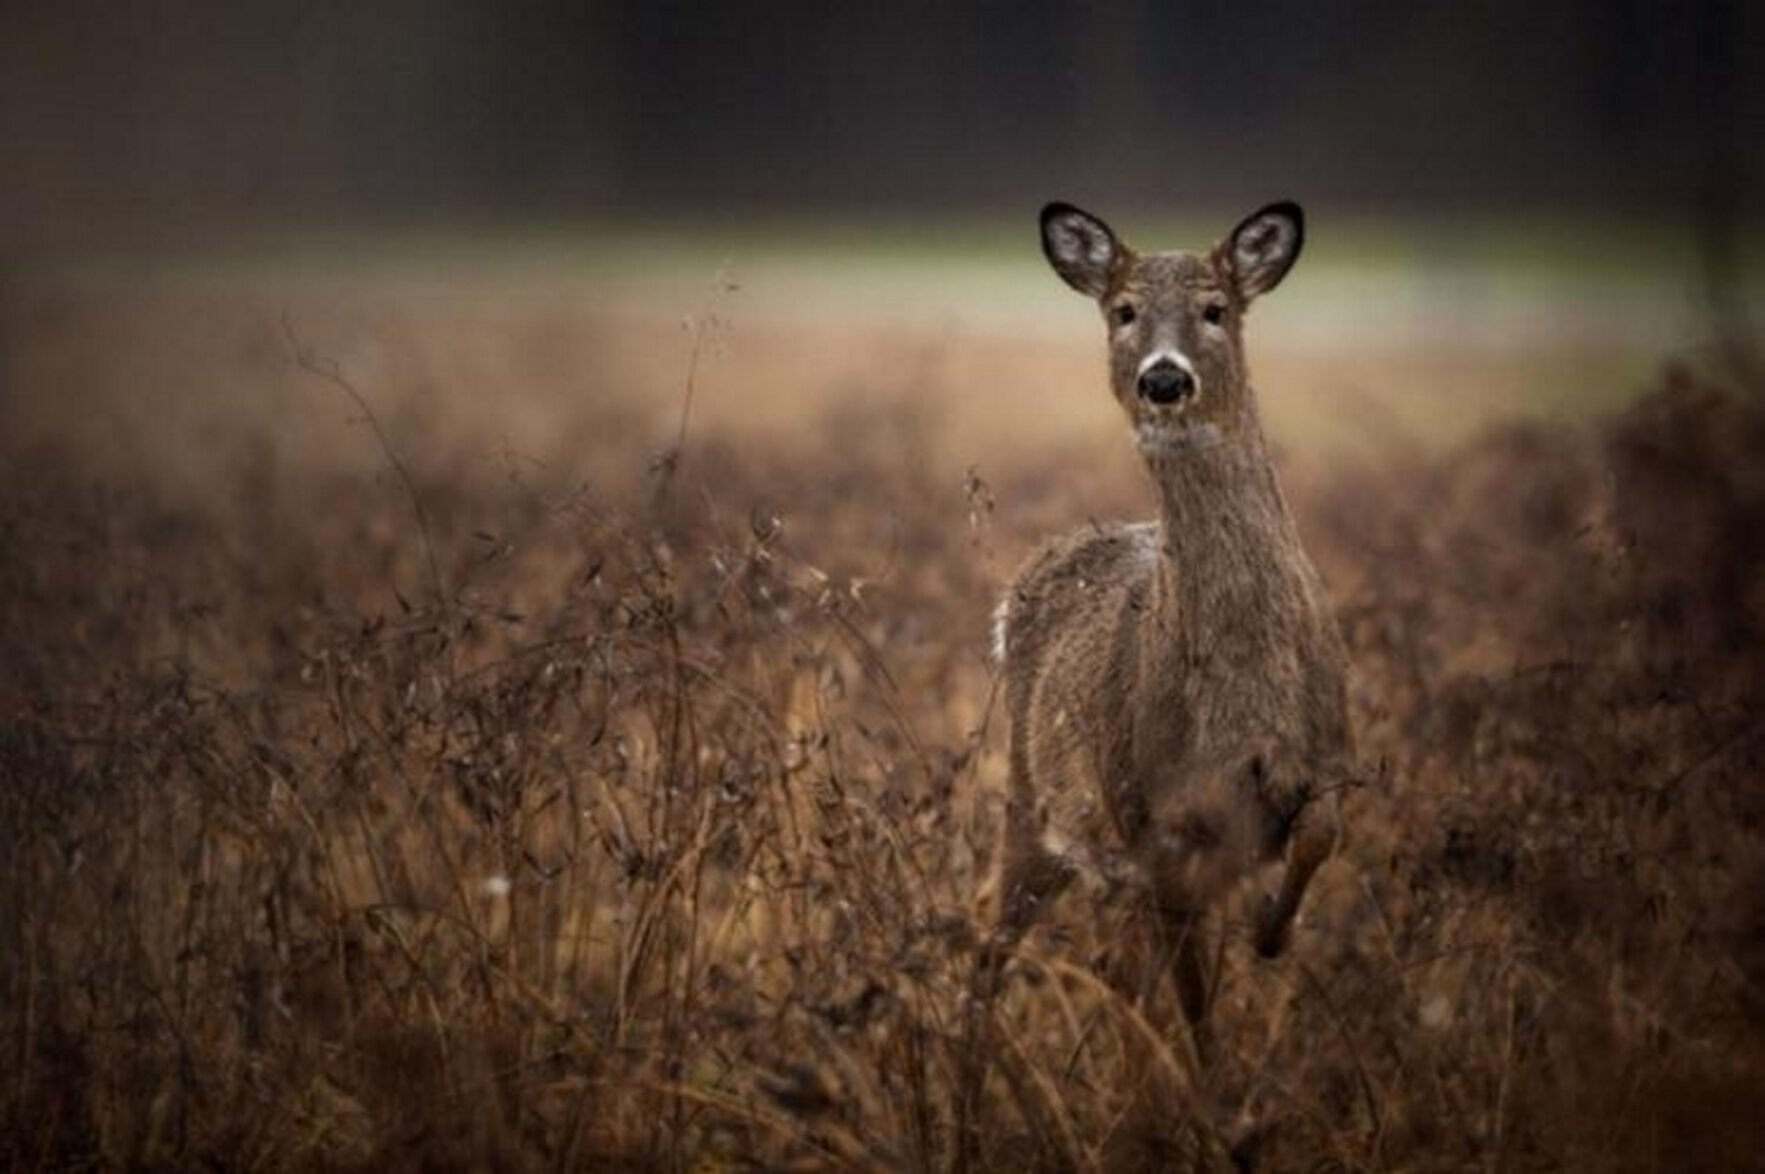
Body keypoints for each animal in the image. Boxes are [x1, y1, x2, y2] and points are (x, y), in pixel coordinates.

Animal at [984, 201, 1354, 1034]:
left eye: (1215, 309)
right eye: (1122, 311)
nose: (1162, 377)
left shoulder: (1330, 756)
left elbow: (1318, 833)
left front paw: (1271, 931)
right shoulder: (1150, 821)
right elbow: (1183, 997)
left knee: (1118, 967)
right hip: (1028, 798)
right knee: (991, 949)